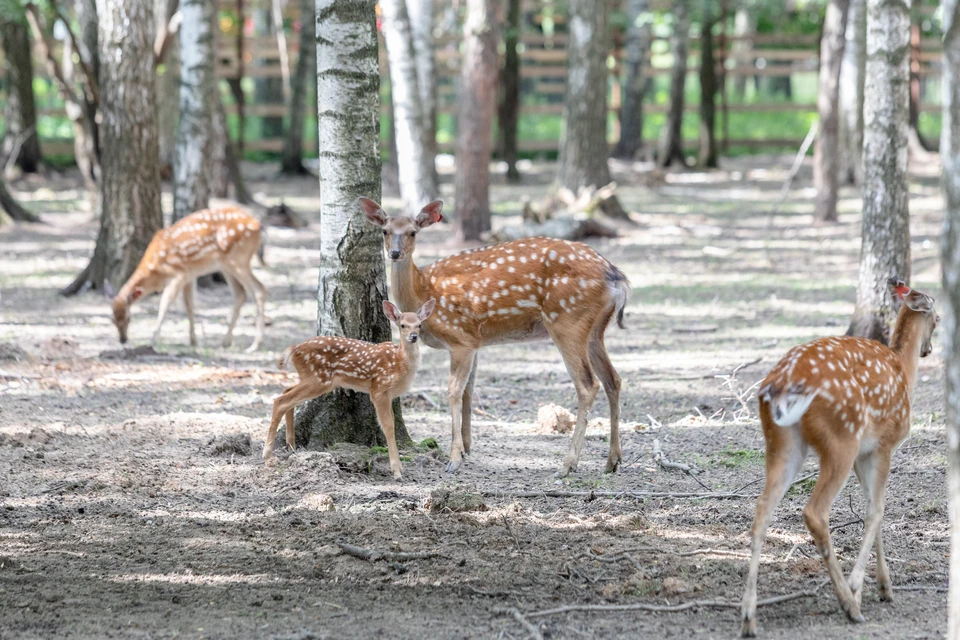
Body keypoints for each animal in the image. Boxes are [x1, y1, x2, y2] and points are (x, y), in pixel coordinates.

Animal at [113, 206, 270, 352]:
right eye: (113, 319)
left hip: (238, 259)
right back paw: (226, 341)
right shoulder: (189, 275)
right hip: (226, 265)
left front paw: (152, 341)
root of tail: (258, 225)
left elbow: (164, 303)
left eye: (129, 317)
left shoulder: (178, 273)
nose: (122, 339)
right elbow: (189, 305)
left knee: (259, 289)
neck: (154, 271)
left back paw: (255, 345)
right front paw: (193, 341)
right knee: (240, 293)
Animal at [262, 298, 436, 478]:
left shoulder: (389, 395)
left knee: (286, 392)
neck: (398, 362)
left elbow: (392, 422)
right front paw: (396, 471)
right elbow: (388, 426)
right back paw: (267, 455)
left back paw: (291, 446)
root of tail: (294, 349)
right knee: (280, 401)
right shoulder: (379, 389)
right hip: (319, 379)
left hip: (310, 377)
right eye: (402, 325)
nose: (414, 336)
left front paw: (400, 468)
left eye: (419, 325)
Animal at [360, 196, 632, 476]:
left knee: (588, 384)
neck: (424, 290)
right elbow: (469, 390)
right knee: (613, 379)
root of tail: (616, 277)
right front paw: (467, 448)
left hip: (568, 321)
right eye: (385, 231)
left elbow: (454, 391)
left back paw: (567, 465)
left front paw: (454, 459)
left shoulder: (460, 338)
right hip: (595, 330)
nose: (394, 253)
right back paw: (612, 461)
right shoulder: (474, 341)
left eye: (413, 232)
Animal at [744, 278, 936, 636]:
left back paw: (748, 618)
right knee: (815, 512)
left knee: (761, 509)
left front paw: (885, 587)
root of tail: (779, 386)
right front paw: (861, 588)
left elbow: (871, 508)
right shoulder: (884, 444)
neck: (903, 368)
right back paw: (848, 603)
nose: (928, 349)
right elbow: (877, 510)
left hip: (783, 442)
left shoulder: (865, 452)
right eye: (938, 317)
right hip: (840, 437)